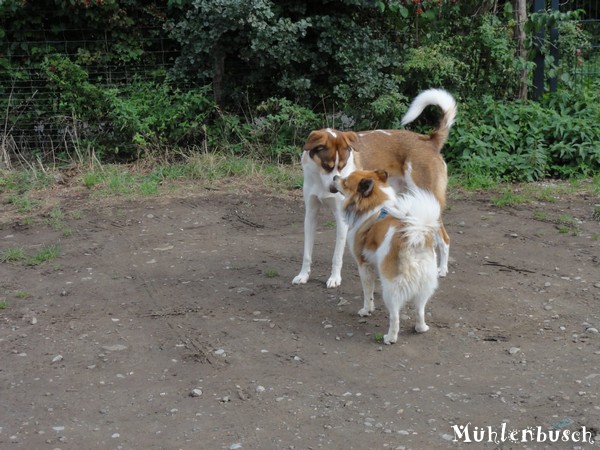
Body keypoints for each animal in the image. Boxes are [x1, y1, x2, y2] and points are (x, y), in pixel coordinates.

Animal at [292, 88, 458, 286]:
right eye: (327, 165)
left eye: (342, 166)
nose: (333, 188)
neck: (319, 178)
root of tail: (428, 140)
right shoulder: (310, 214)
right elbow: (307, 253)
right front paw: (303, 275)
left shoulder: (342, 218)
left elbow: (336, 256)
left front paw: (334, 278)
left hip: (429, 200)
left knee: (445, 239)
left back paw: (441, 269)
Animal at [330, 169, 438, 344]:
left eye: (346, 182)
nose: (334, 176)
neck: (374, 205)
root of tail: (415, 237)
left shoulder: (363, 265)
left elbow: (367, 292)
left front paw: (367, 310)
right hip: (425, 286)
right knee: (420, 310)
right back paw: (421, 328)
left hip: (391, 289)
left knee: (395, 317)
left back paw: (390, 338)